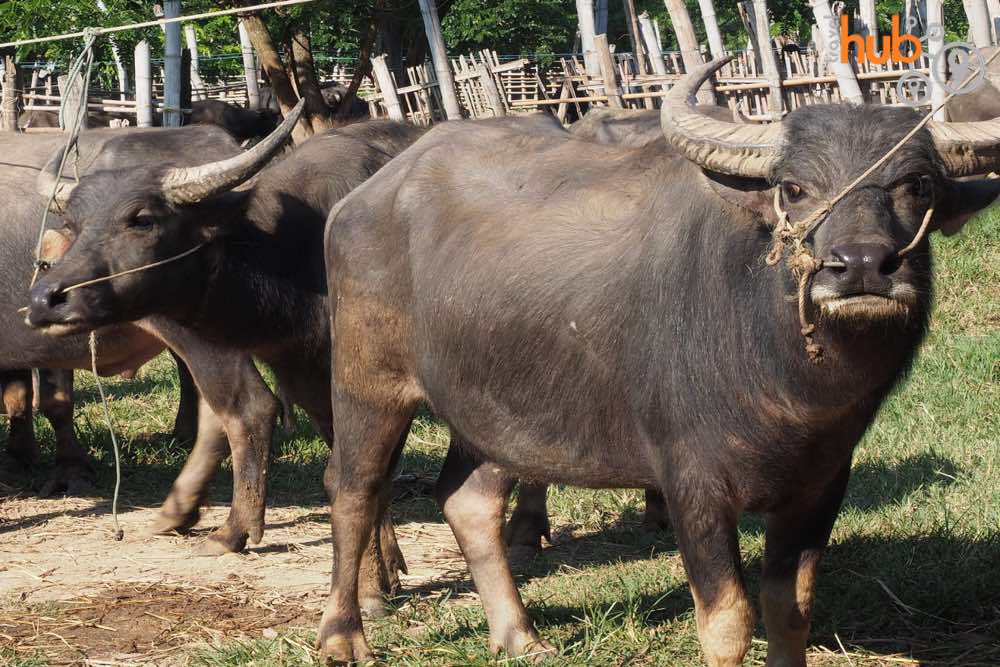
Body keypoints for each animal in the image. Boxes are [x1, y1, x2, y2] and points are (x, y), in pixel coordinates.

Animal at [310, 60, 1000, 664]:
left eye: (918, 185)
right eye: (795, 189)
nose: (860, 265)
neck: (791, 388)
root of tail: (360, 200)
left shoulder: (821, 483)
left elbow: (790, 609)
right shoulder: (691, 483)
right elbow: (728, 620)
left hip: (492, 414)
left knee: (467, 501)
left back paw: (518, 636)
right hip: (368, 381)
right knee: (353, 489)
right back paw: (344, 635)